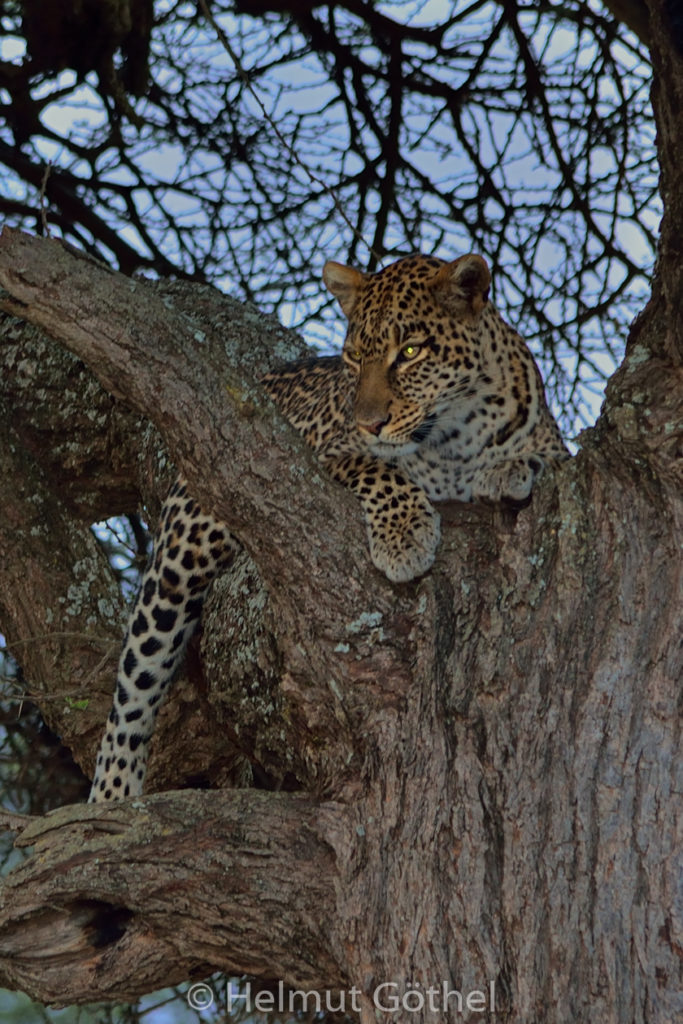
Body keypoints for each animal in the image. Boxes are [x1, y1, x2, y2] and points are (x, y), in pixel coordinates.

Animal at [88, 252, 568, 802]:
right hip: (182, 554)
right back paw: (112, 794)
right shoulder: (320, 456)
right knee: (135, 682)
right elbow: (378, 467)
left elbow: (543, 460)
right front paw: (405, 534)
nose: (369, 422)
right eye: (355, 358)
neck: (456, 437)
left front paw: (510, 469)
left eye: (409, 352)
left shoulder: (556, 451)